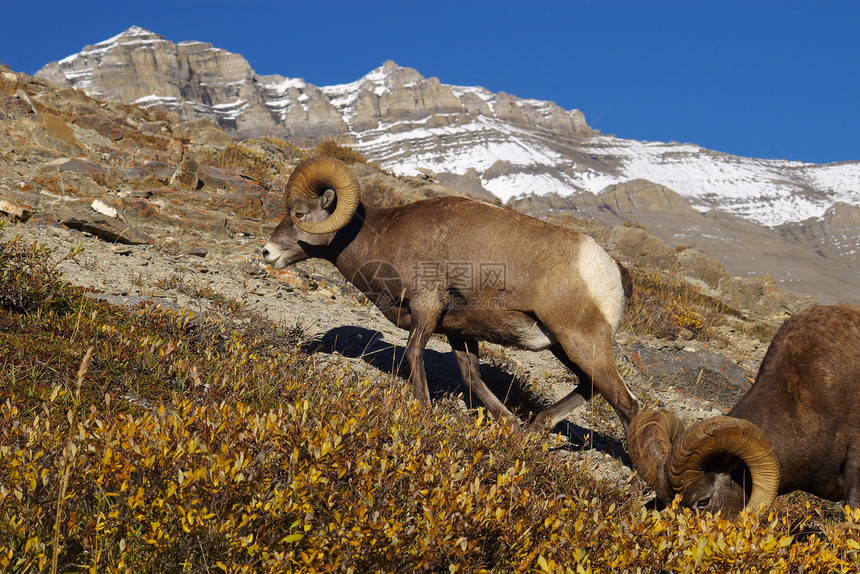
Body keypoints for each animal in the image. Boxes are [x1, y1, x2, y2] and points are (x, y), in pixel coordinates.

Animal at [262, 158, 640, 432]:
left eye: (298, 213)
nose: (267, 253)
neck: (385, 237)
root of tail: (613, 270)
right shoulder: (458, 331)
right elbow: (471, 376)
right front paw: (512, 425)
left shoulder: (427, 306)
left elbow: (414, 354)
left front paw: (424, 409)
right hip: (564, 347)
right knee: (591, 388)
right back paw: (536, 428)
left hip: (582, 343)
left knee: (627, 405)